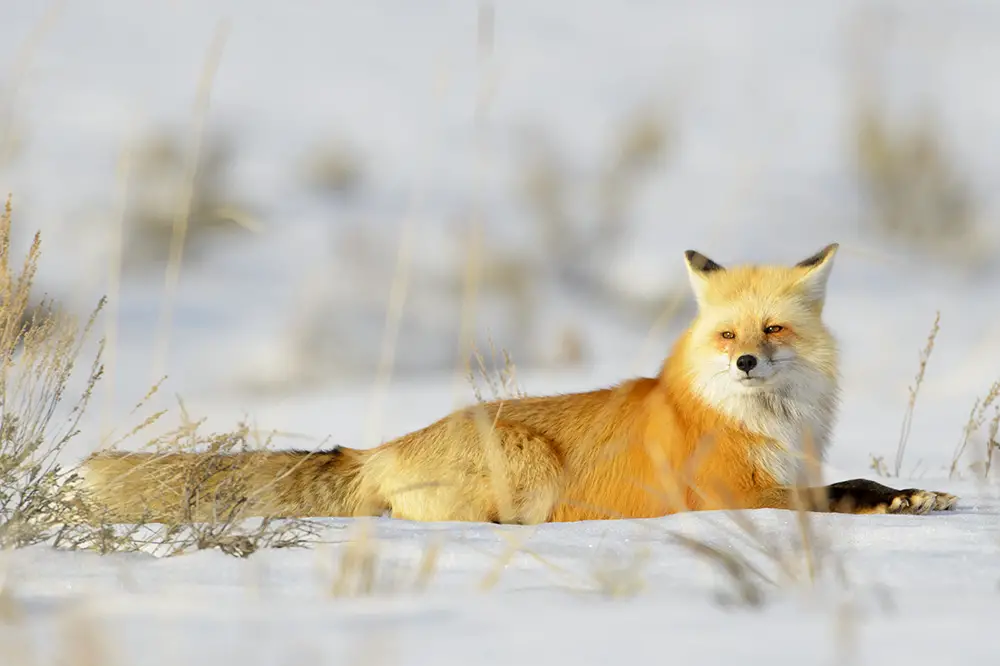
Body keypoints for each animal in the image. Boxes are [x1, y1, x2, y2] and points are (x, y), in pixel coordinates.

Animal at [76, 241, 952, 520]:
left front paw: (918, 497)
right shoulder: (735, 496)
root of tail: (380, 448)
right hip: (528, 471)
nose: (744, 364)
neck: (763, 423)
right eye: (726, 335)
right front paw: (895, 503)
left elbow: (857, 481)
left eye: (773, 331)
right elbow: (840, 495)